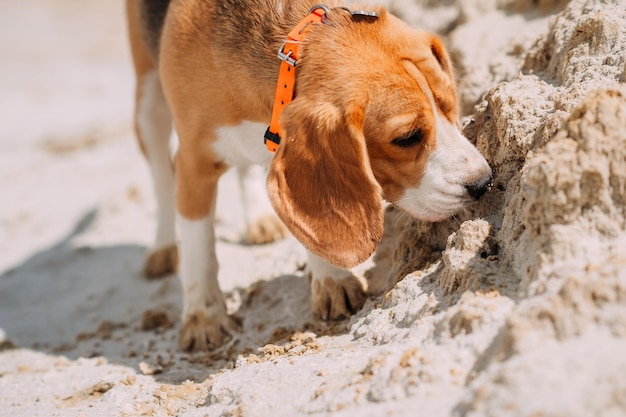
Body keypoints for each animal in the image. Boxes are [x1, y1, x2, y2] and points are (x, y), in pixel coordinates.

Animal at [123, 0, 492, 352]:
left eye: (450, 106)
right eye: (406, 138)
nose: (483, 182)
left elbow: (311, 227)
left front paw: (330, 278)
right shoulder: (194, 166)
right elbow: (199, 246)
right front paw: (204, 317)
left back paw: (259, 219)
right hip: (148, 104)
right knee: (161, 176)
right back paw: (163, 247)